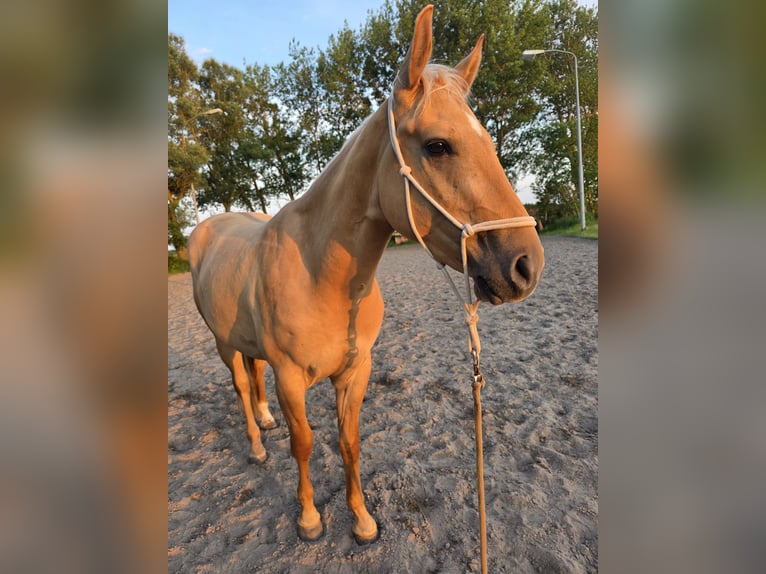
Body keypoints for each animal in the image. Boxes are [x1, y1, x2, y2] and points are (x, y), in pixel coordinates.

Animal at [188, 4, 544, 545]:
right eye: (438, 145)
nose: (527, 265)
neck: (325, 280)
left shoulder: (356, 372)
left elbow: (349, 443)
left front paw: (361, 520)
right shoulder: (291, 378)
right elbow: (304, 445)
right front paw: (309, 519)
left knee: (253, 376)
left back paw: (265, 422)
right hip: (221, 343)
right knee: (241, 389)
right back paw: (256, 444)